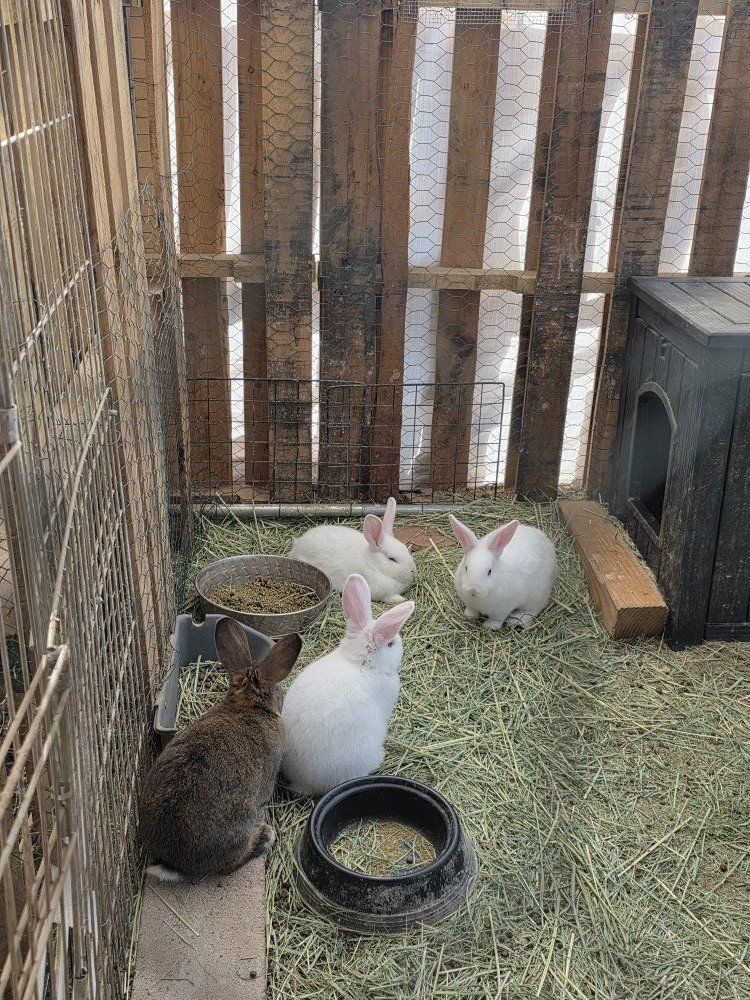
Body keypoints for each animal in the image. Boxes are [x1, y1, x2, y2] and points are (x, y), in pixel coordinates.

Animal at [138, 618, 302, 881]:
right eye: (278, 690)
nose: (282, 694)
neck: (247, 704)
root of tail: (171, 862)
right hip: (239, 826)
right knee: (229, 864)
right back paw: (264, 837)